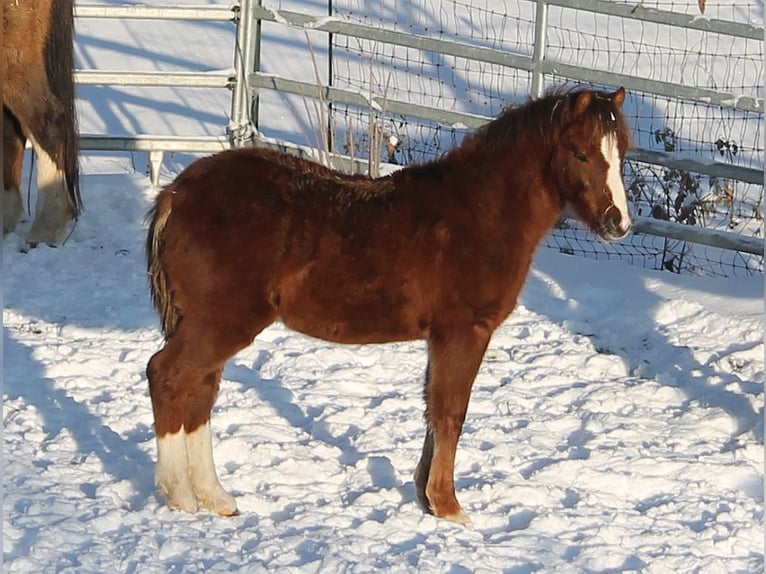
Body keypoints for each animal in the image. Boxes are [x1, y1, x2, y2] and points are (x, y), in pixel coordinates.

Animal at [145, 87, 632, 525]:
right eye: (580, 153)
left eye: (622, 152)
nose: (618, 224)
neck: (480, 212)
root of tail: (177, 194)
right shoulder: (465, 331)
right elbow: (452, 412)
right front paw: (450, 507)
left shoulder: (441, 336)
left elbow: (433, 408)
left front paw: (427, 499)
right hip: (222, 322)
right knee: (167, 376)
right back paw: (180, 496)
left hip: (210, 324)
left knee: (199, 391)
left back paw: (216, 497)